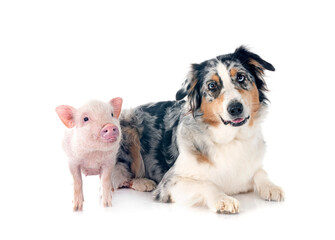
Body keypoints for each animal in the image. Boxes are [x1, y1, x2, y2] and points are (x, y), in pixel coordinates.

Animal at [112, 46, 284, 214]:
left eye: (241, 77)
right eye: (212, 85)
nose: (235, 108)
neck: (232, 139)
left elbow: (261, 172)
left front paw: (271, 187)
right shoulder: (170, 182)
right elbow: (207, 184)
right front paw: (224, 199)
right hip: (128, 131)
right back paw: (142, 182)